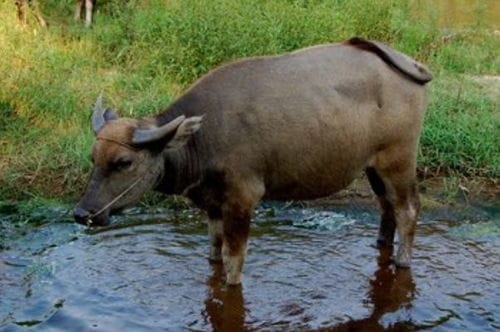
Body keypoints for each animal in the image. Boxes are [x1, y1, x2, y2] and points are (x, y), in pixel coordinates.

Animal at [73, 37, 430, 286]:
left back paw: (403, 262)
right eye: (93, 158)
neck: (203, 138)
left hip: (398, 160)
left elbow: (233, 260)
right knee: (386, 208)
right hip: (373, 167)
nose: (81, 213)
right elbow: (214, 251)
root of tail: (406, 63)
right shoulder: (213, 205)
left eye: (123, 162)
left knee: (407, 209)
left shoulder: (242, 199)